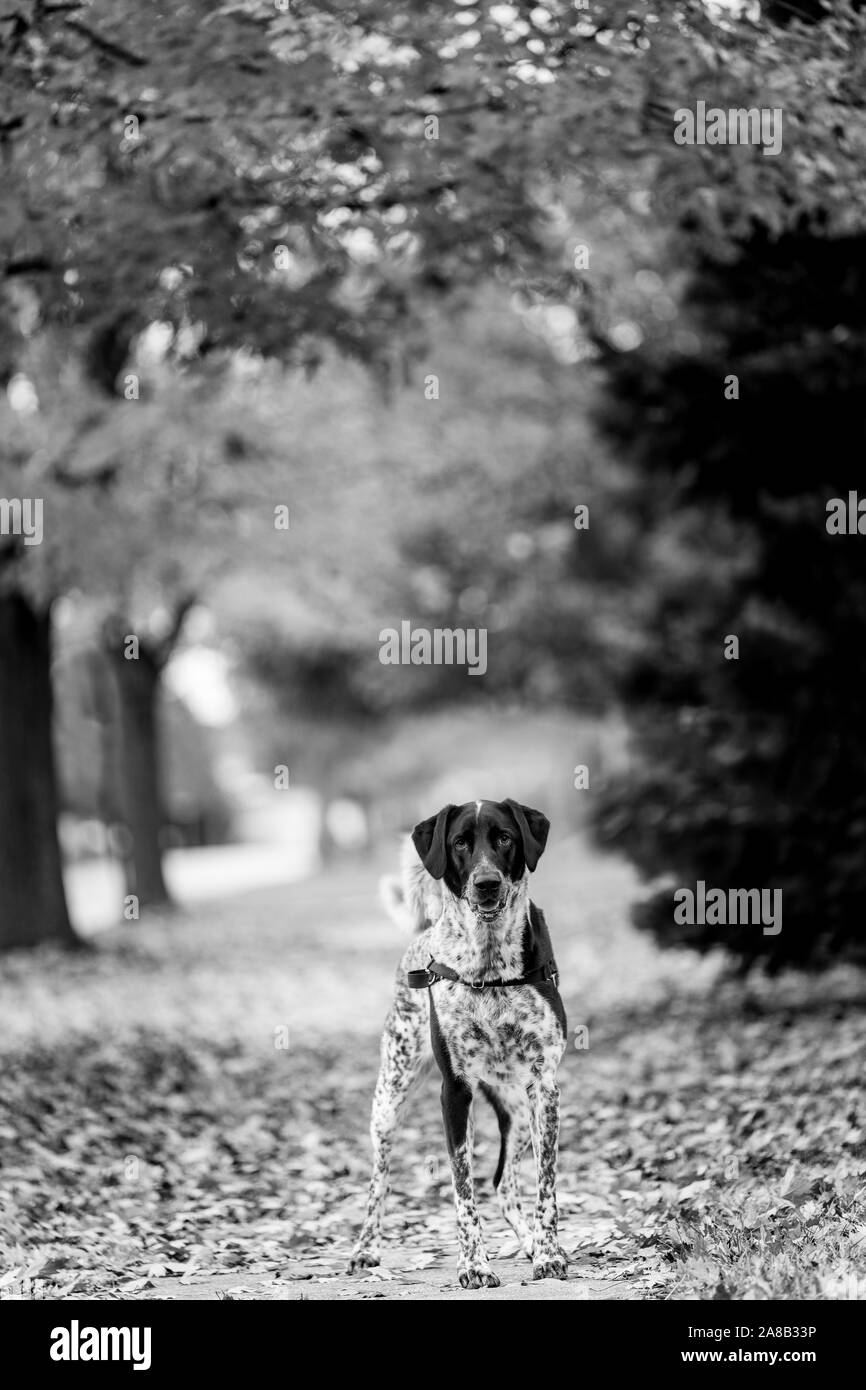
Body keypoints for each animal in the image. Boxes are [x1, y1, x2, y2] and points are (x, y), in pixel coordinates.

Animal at [353, 800, 569, 1284]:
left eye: (505, 838)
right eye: (459, 843)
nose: (486, 883)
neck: (489, 968)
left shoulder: (544, 1087)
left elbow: (545, 1184)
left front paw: (548, 1254)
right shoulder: (453, 1091)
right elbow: (461, 1187)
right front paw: (473, 1264)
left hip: (516, 1107)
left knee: (504, 1184)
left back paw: (530, 1243)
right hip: (390, 1099)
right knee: (380, 1180)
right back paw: (366, 1247)